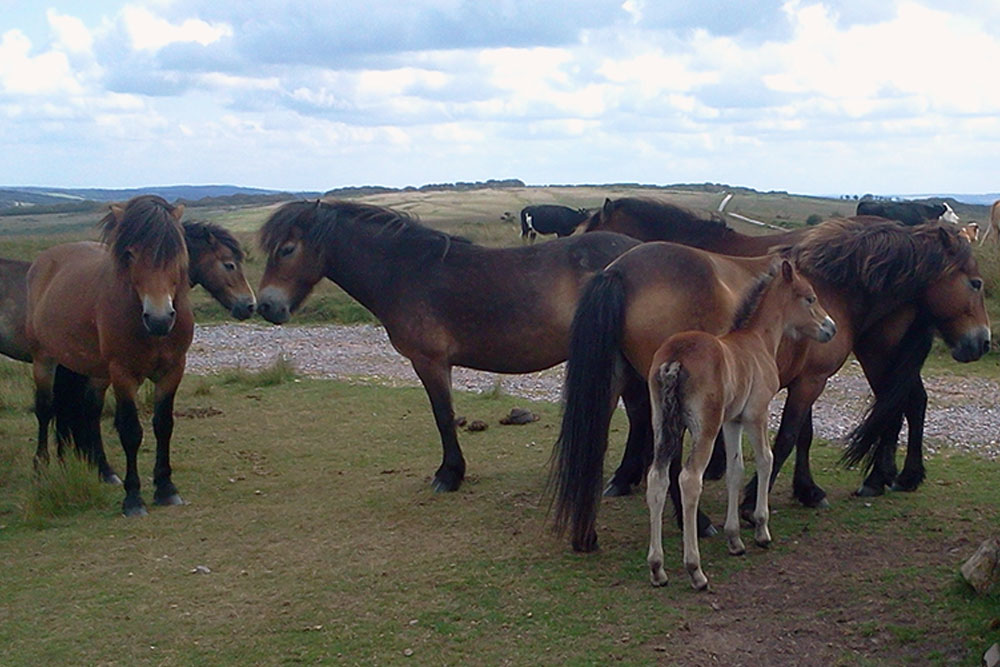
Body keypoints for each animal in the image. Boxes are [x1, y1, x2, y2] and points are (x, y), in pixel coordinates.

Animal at [26, 193, 193, 516]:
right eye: (130, 253)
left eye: (177, 252)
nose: (159, 319)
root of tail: (45, 260)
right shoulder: (123, 374)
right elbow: (130, 431)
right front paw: (133, 499)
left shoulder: (173, 370)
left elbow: (163, 425)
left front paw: (166, 488)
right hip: (44, 360)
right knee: (45, 409)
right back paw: (40, 467)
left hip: (96, 371)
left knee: (90, 410)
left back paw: (104, 471)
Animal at [254, 201, 636, 494]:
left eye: (287, 249)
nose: (266, 307)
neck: (406, 271)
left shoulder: (429, 362)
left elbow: (443, 416)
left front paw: (449, 474)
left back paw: (621, 479)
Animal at [640, 260, 836, 588]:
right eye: (810, 298)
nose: (831, 328)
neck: (758, 340)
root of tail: (675, 359)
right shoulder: (756, 413)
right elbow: (765, 459)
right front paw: (761, 530)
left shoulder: (732, 422)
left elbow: (735, 469)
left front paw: (734, 540)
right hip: (704, 428)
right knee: (689, 479)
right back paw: (695, 570)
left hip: (662, 425)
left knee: (657, 477)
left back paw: (657, 568)